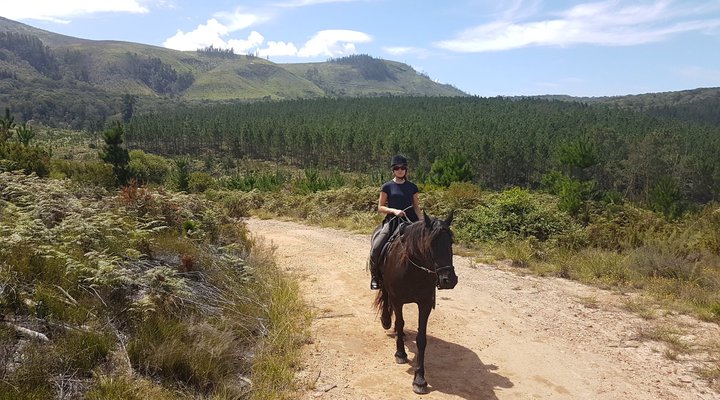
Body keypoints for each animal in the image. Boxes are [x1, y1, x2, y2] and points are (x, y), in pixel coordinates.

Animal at [373, 211, 458, 394]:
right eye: (431, 242)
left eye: (451, 241)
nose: (449, 280)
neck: (412, 268)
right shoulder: (397, 300)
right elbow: (399, 322)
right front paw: (400, 354)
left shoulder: (425, 304)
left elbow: (421, 339)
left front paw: (419, 379)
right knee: (385, 299)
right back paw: (386, 321)